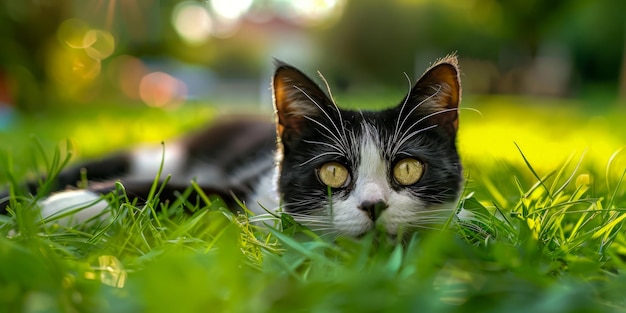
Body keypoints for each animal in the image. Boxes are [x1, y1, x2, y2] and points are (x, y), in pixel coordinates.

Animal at [0, 54, 460, 238]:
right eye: (332, 172)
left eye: (408, 169)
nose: (374, 206)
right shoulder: (247, 186)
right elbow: (170, 188)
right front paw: (50, 209)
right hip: (164, 150)